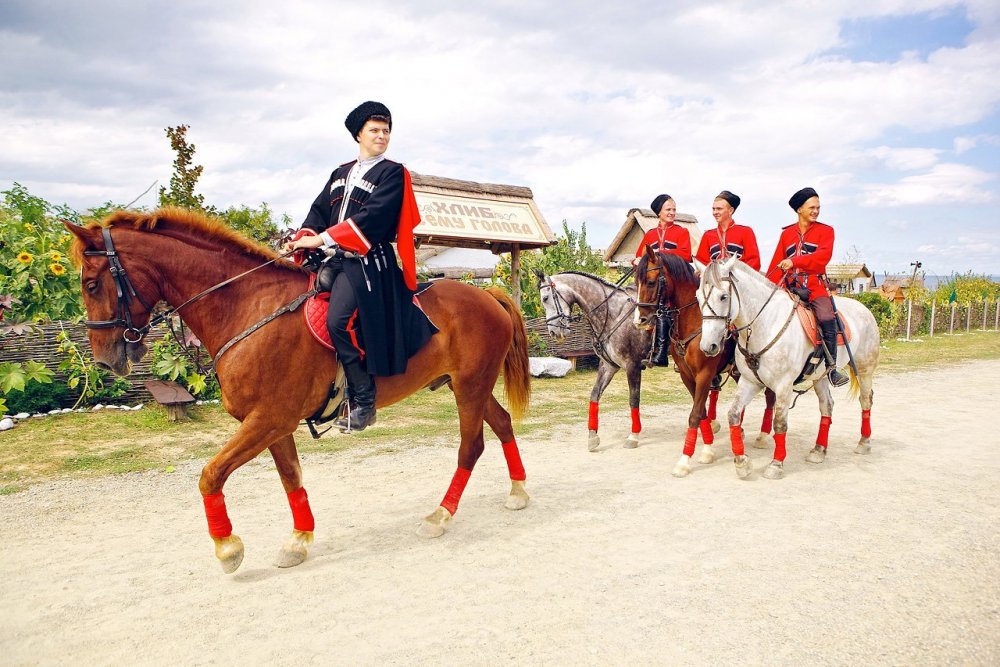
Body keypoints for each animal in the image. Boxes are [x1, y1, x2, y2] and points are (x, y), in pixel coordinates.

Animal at [67, 209, 536, 576]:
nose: (105, 360)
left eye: (91, 284)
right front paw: (298, 539)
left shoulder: (268, 419)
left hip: (470, 388)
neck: (248, 308)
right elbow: (290, 477)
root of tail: (487, 295)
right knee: (502, 424)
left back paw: (440, 515)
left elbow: (210, 475)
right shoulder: (271, 424)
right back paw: (517, 492)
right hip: (469, 386)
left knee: (471, 446)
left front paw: (228, 549)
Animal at [632, 248, 780, 478]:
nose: (639, 320)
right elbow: (700, 411)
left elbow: (695, 414)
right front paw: (708, 448)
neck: (695, 322)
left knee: (770, 398)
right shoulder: (687, 376)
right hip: (738, 372)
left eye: (650, 281)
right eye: (635, 282)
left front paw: (686, 461)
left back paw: (763, 437)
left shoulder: (704, 374)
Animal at [700, 256, 880, 480]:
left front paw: (776, 464)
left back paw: (864, 442)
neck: (765, 324)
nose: (708, 346)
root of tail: (864, 308)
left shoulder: (783, 385)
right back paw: (818, 450)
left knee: (865, 400)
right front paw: (742, 462)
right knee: (827, 406)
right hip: (820, 377)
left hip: (864, 369)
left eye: (723, 296)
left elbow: (779, 423)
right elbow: (733, 414)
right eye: (698, 296)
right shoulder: (749, 381)